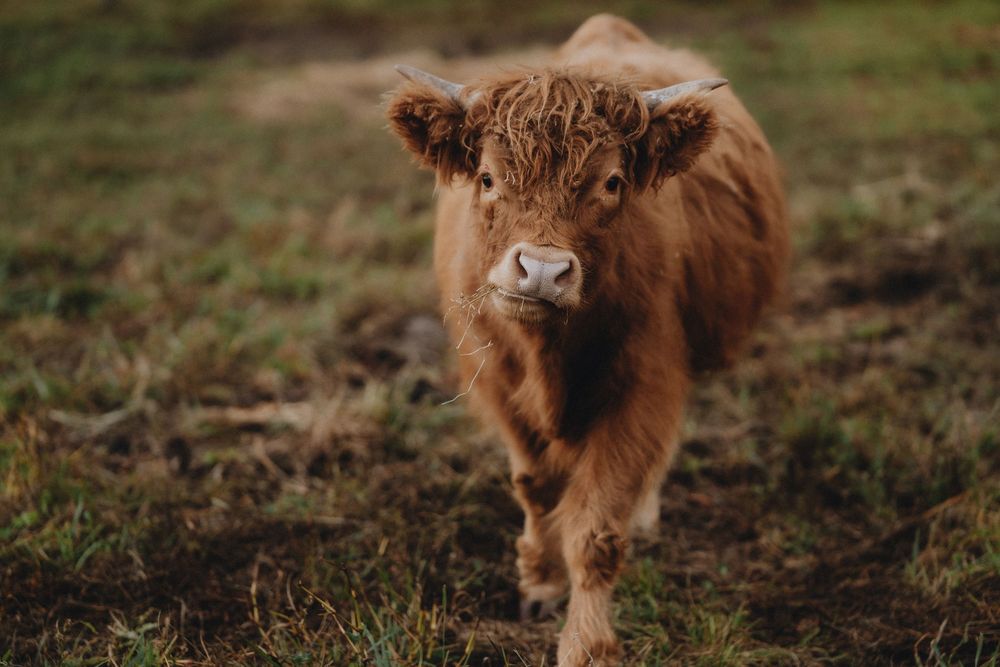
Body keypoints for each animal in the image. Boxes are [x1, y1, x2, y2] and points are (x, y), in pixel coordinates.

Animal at [386, 14, 789, 666]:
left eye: (612, 182)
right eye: (488, 177)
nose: (542, 271)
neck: (547, 356)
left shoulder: (643, 384)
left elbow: (598, 532)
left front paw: (588, 644)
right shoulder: (498, 384)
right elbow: (535, 487)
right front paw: (539, 583)